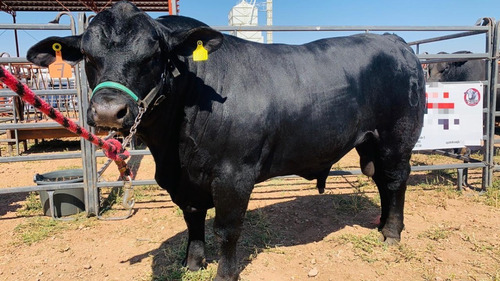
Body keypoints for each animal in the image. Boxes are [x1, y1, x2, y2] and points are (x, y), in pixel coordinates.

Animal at [26, 1, 426, 278]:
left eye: (154, 54)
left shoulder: (234, 175)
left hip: (397, 138)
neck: (173, 148)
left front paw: (225, 273)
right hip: (370, 143)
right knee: (381, 181)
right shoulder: (183, 180)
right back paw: (381, 225)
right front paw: (192, 264)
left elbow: (227, 229)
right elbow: (193, 219)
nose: (109, 111)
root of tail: (394, 40)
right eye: (88, 56)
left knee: (395, 181)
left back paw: (392, 233)